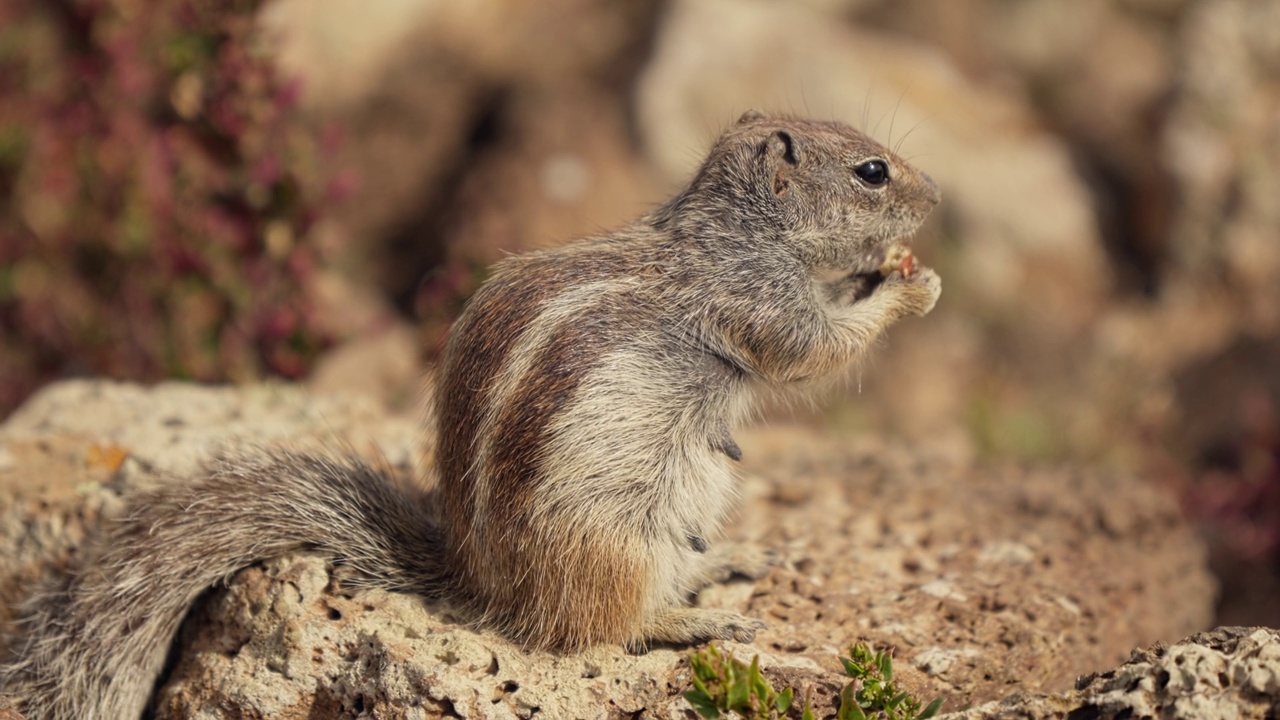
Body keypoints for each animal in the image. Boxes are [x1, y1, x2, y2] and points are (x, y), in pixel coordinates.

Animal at [0, 109, 942, 712]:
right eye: (872, 172)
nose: (934, 201)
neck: (733, 230)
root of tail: (484, 588)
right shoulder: (761, 302)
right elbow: (817, 349)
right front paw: (913, 285)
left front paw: (897, 268)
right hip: (616, 548)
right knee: (606, 630)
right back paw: (695, 616)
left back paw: (727, 565)